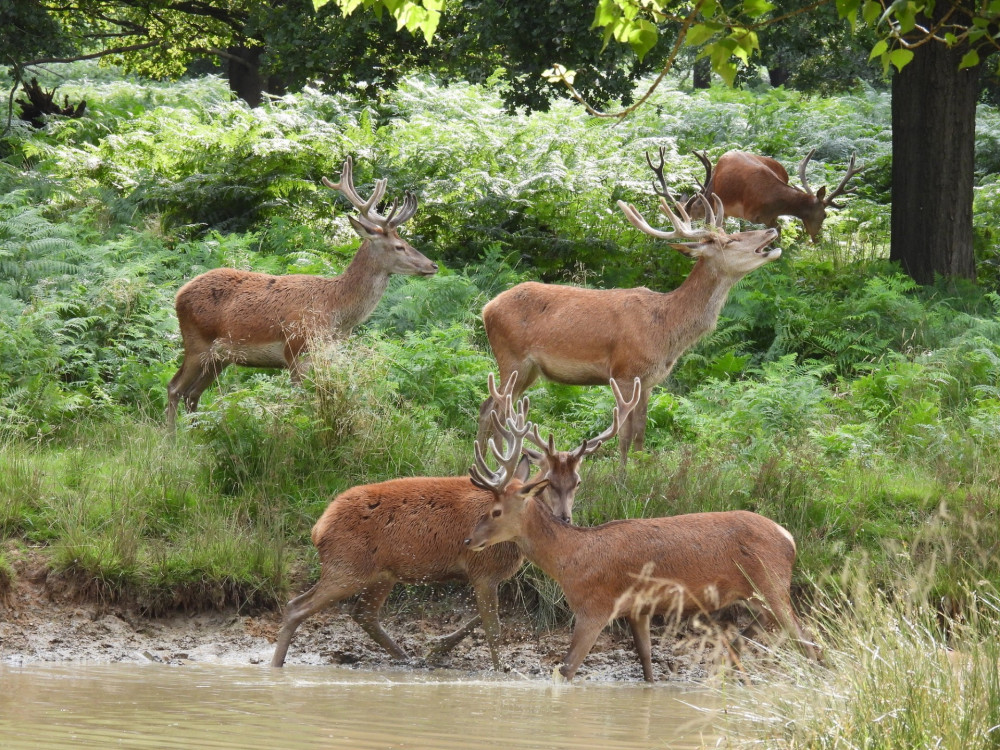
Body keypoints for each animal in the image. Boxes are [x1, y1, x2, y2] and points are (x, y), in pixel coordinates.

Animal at [166, 154, 436, 428]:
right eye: (399, 246)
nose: (432, 265)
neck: (337, 311)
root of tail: (179, 293)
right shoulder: (296, 349)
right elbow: (299, 404)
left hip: (220, 357)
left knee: (192, 394)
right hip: (197, 343)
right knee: (175, 387)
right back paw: (173, 435)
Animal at [270, 374, 636, 672]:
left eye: (577, 481)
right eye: (547, 481)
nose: (564, 518)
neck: (513, 547)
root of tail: (318, 527)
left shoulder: (483, 574)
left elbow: (483, 617)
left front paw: (436, 649)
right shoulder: (483, 569)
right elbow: (492, 627)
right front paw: (500, 669)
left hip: (381, 572)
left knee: (363, 614)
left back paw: (407, 657)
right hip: (347, 565)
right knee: (296, 606)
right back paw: (277, 663)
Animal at [476, 185, 780, 464]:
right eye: (730, 241)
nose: (771, 231)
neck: (666, 329)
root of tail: (487, 308)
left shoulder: (649, 381)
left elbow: (641, 432)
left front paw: (640, 470)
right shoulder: (623, 372)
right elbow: (623, 435)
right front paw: (621, 478)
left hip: (529, 371)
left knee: (489, 406)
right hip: (511, 358)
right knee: (496, 409)